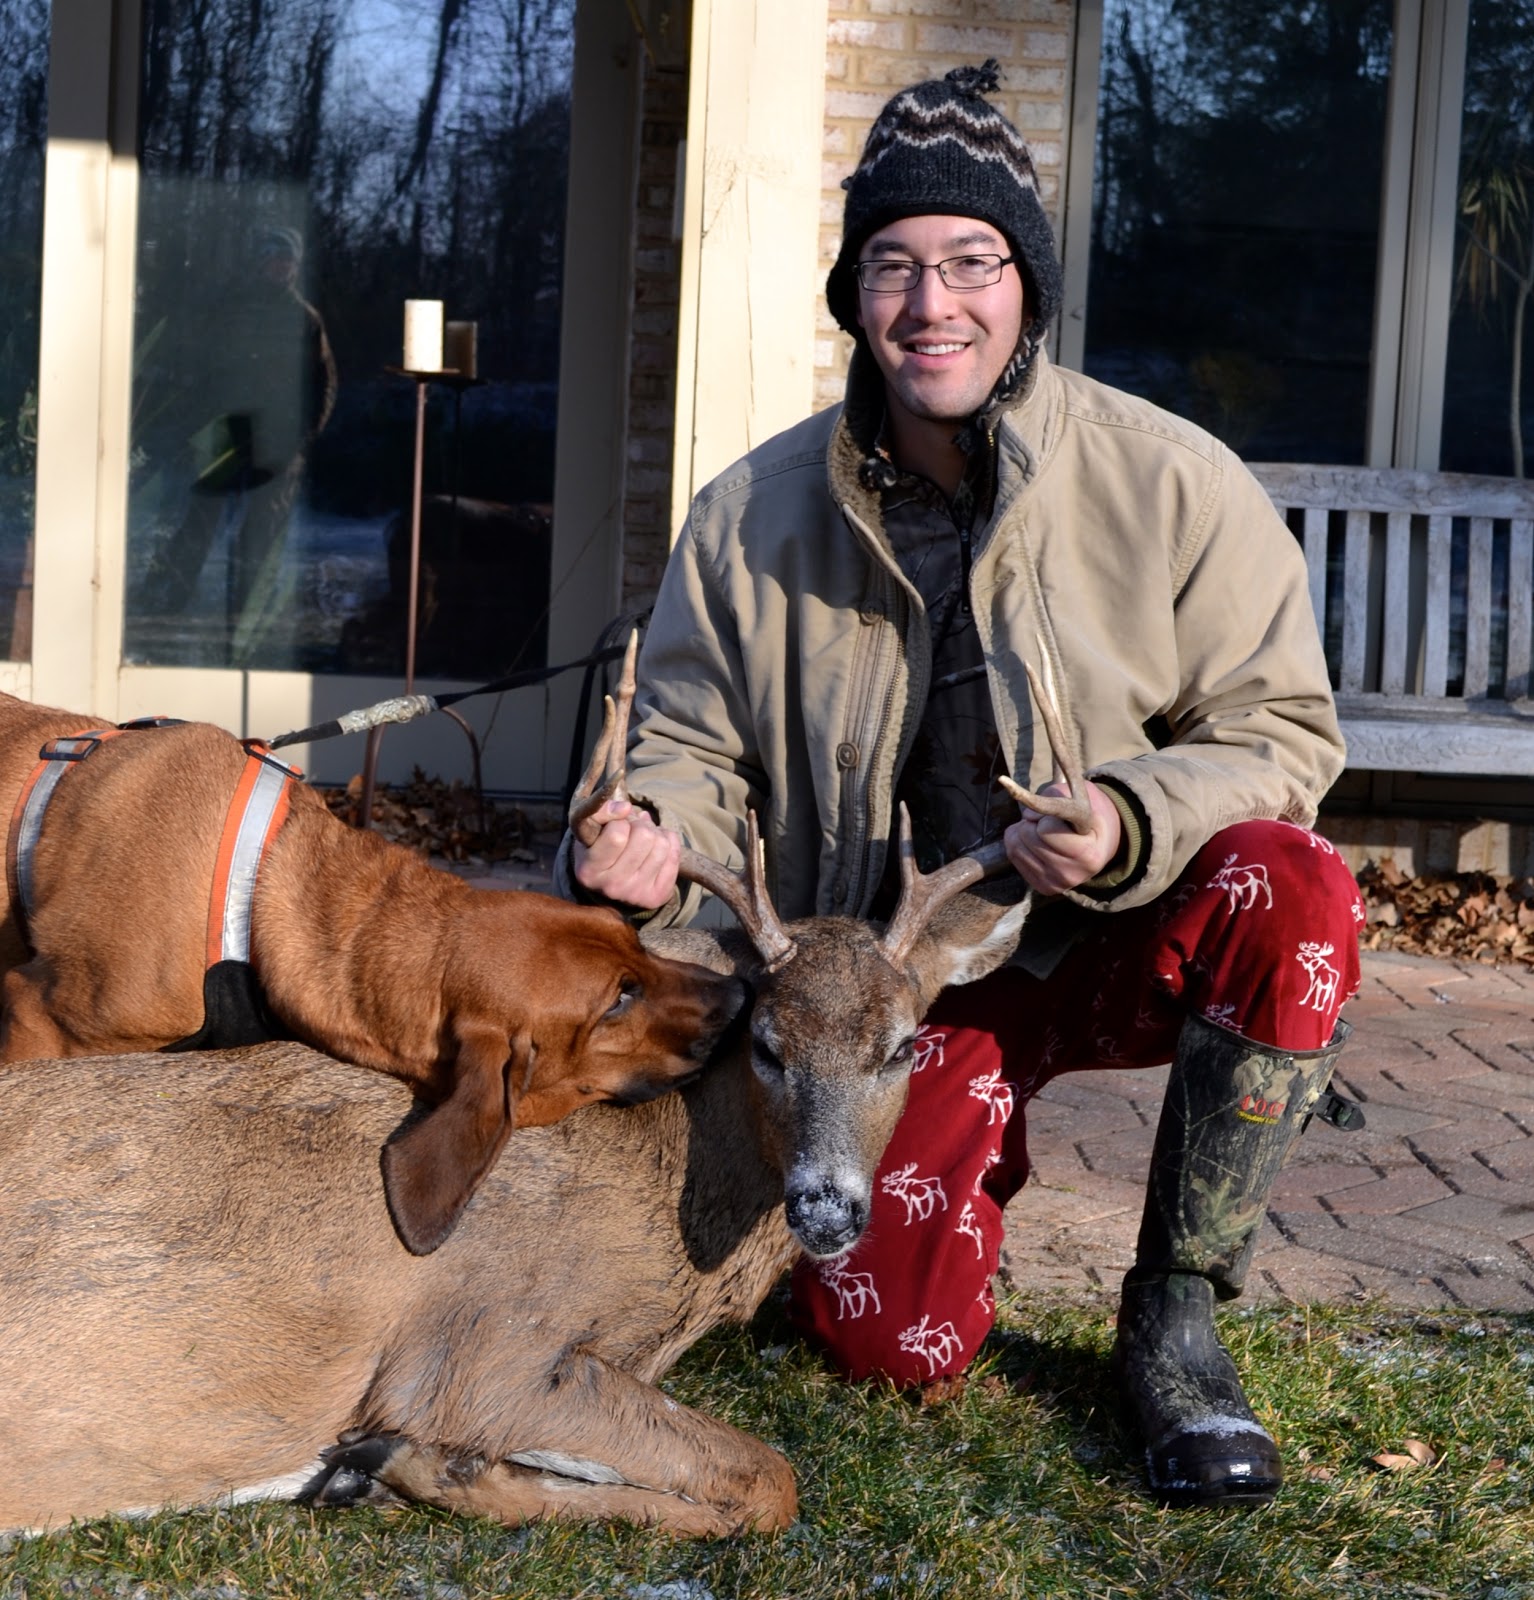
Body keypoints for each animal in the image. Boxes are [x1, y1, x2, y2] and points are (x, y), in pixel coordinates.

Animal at [0, 636, 1090, 1536]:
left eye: (903, 1047)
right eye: (770, 1046)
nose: (826, 1208)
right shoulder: (480, 1352)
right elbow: (768, 1478)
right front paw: (401, 1464)